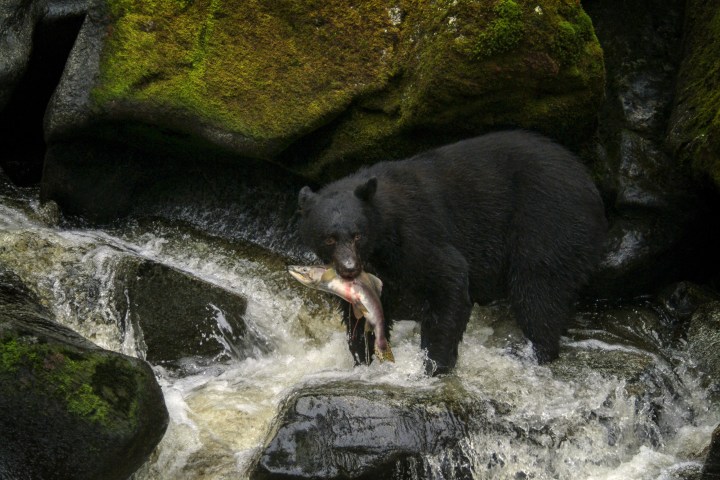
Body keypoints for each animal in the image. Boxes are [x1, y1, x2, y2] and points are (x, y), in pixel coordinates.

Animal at [297, 130, 607, 375]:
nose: (349, 268)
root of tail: (590, 186)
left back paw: (532, 352)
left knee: (537, 289)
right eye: (329, 238)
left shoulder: (416, 235)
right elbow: (360, 313)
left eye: (358, 235)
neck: (383, 229)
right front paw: (364, 359)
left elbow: (449, 281)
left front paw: (434, 365)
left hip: (548, 224)